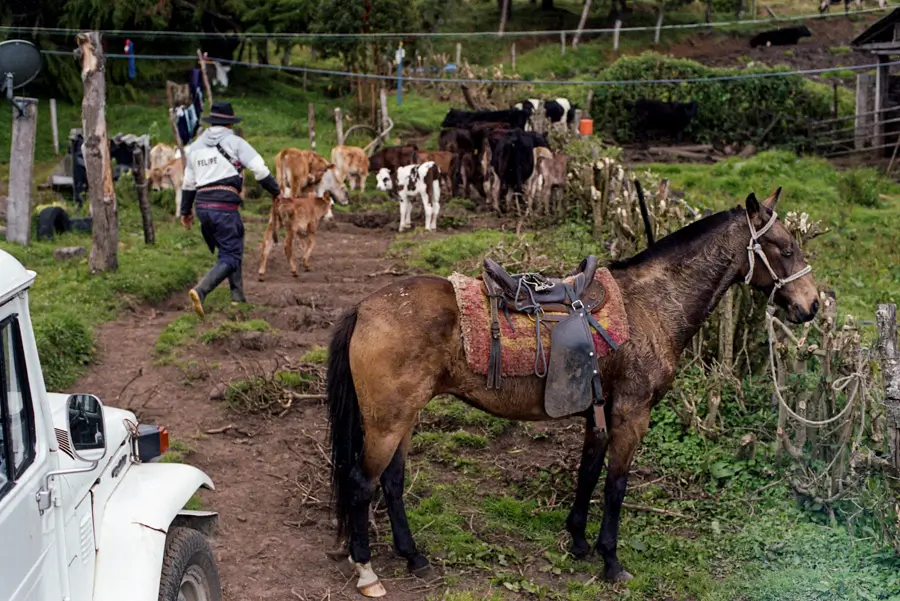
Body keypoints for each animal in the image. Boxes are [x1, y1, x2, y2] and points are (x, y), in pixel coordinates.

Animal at [326, 189, 824, 596]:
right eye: (786, 248)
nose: (813, 304)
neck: (651, 307)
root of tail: (364, 308)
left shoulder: (597, 413)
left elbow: (587, 474)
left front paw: (580, 542)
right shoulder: (631, 415)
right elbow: (616, 487)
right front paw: (611, 560)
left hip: (403, 418)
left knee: (391, 482)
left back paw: (414, 556)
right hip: (387, 421)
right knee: (361, 483)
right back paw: (367, 570)